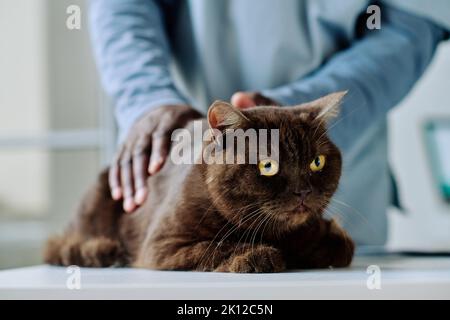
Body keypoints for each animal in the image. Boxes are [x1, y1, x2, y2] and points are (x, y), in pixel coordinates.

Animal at [44, 90, 356, 272]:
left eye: (317, 162)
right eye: (268, 166)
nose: (303, 191)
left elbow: (340, 245)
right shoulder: (161, 246)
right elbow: (214, 246)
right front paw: (255, 256)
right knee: (57, 248)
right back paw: (106, 250)